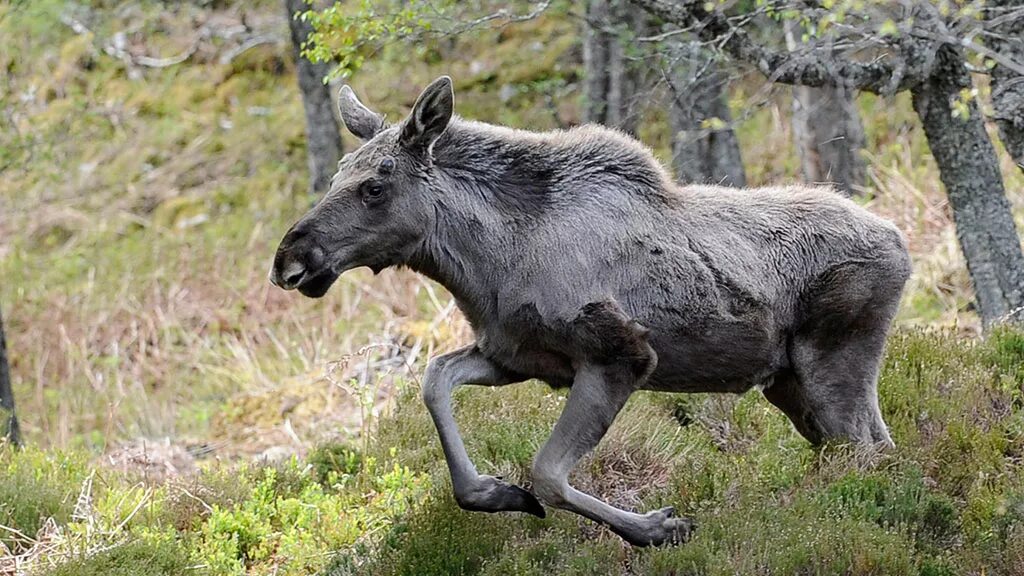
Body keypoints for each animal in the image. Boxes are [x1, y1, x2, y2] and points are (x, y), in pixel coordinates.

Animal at [272, 77, 913, 545]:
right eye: (336, 175)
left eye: (374, 187)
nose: (290, 260)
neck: (486, 264)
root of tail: (900, 242)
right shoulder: (516, 356)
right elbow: (434, 380)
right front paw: (495, 493)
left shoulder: (620, 354)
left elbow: (549, 474)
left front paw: (656, 527)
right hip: (788, 382)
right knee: (870, 450)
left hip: (834, 363)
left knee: (870, 453)